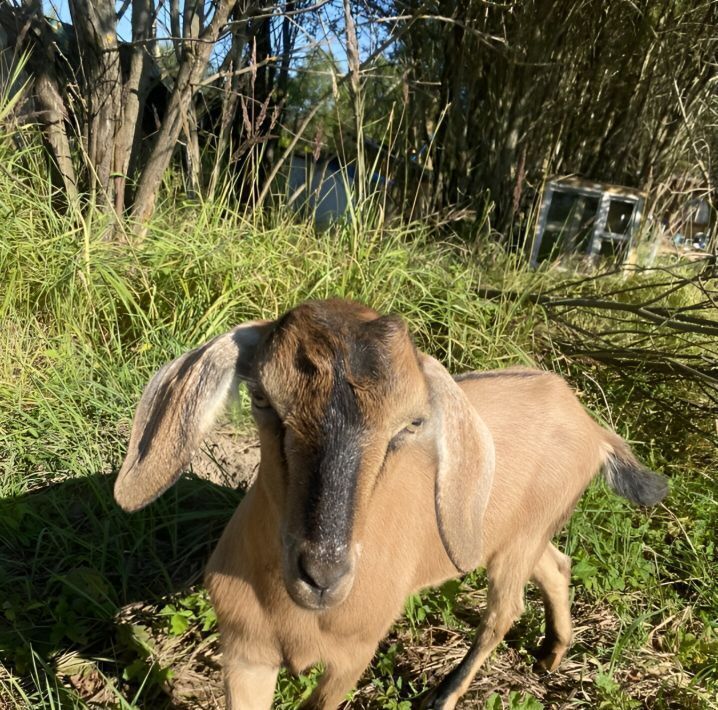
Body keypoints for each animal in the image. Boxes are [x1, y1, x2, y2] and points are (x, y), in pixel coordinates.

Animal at [114, 298, 668, 708]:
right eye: (262, 398)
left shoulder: (353, 655)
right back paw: (551, 654)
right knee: (556, 564)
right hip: (521, 534)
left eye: (411, 423)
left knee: (504, 610)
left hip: (521, 540)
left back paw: (445, 695)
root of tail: (592, 428)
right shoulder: (245, 651)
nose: (323, 575)